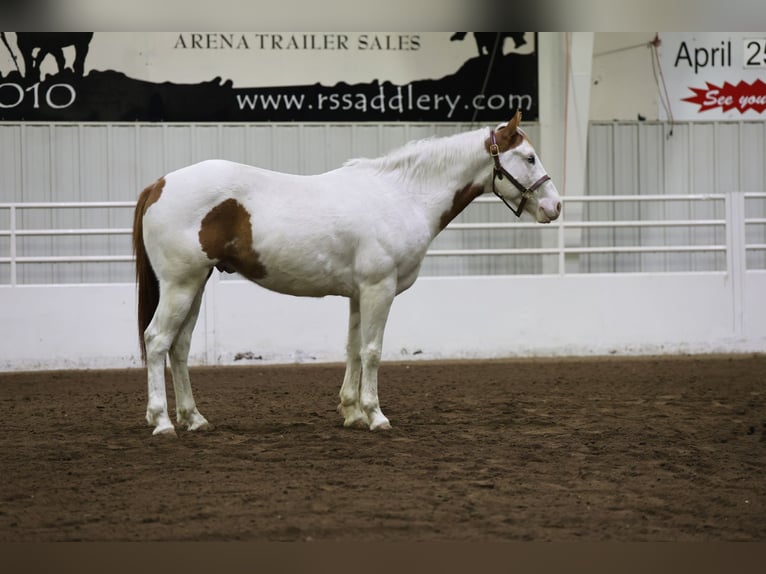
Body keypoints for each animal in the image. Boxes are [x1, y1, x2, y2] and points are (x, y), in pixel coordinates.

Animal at [135, 111, 560, 436]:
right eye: (529, 157)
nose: (554, 206)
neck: (401, 196)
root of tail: (159, 184)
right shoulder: (378, 289)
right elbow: (372, 351)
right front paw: (376, 415)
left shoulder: (359, 294)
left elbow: (354, 349)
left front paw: (352, 412)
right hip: (180, 285)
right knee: (156, 341)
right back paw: (162, 422)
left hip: (195, 286)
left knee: (179, 347)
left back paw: (194, 418)